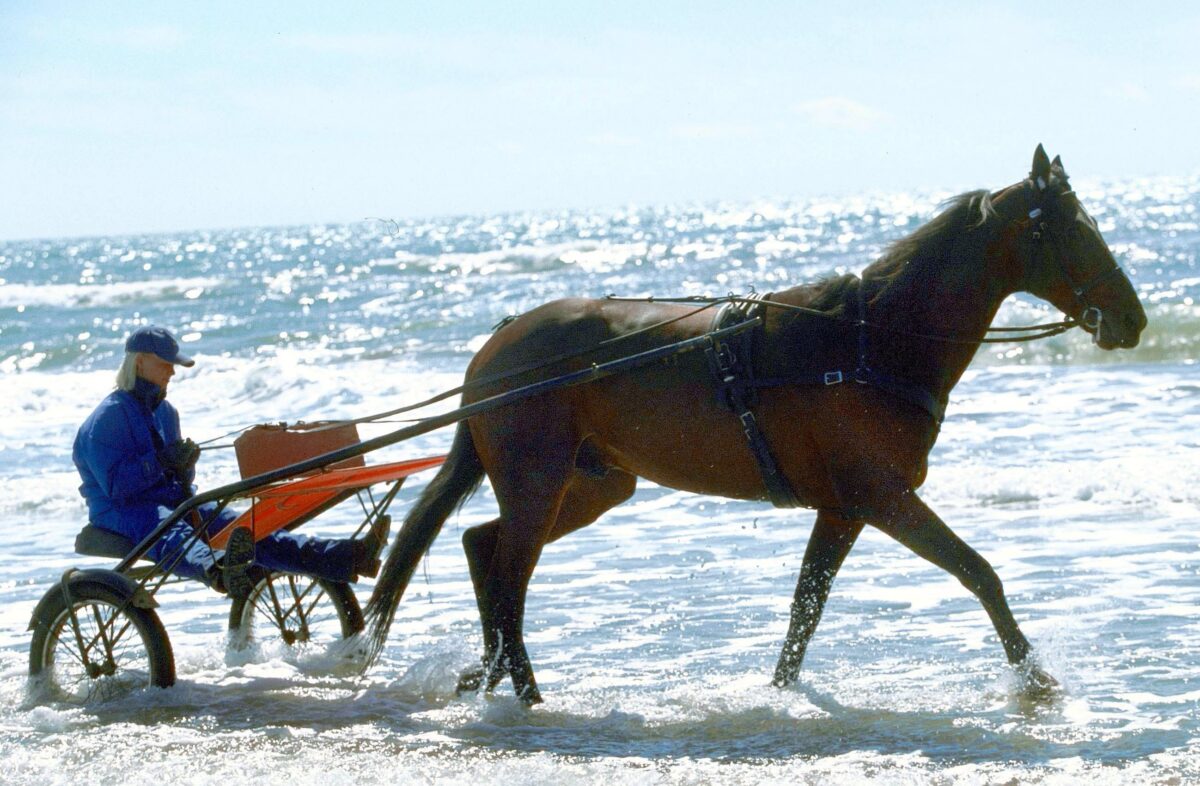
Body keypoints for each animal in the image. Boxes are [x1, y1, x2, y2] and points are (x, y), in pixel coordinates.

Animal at [362, 145, 1147, 704]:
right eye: (1074, 232)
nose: (1134, 321)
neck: (864, 342)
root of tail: (497, 346)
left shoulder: (844, 508)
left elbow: (806, 609)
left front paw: (779, 692)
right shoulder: (884, 498)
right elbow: (978, 572)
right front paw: (1035, 677)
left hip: (592, 484)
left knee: (481, 547)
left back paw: (491, 672)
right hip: (540, 483)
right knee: (508, 573)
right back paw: (523, 688)